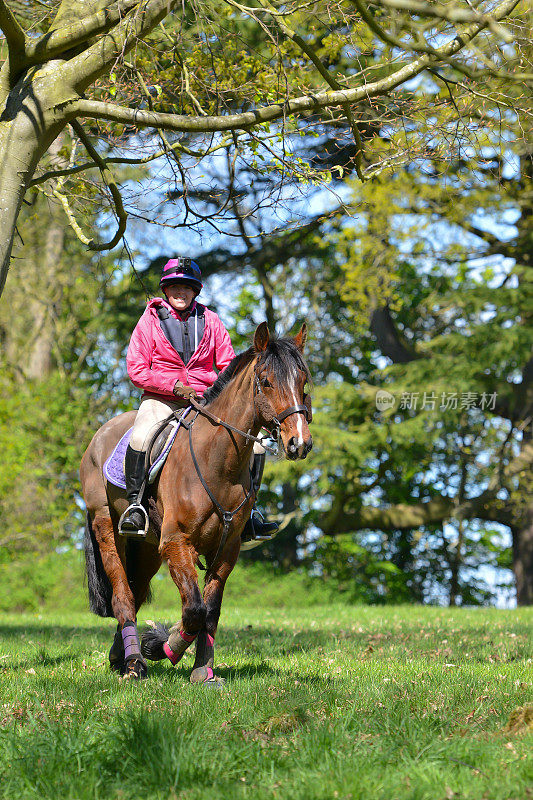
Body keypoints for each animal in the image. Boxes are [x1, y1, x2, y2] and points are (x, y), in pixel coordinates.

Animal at [79, 322, 312, 684]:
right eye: (266, 381)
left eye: (303, 381)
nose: (298, 443)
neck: (218, 461)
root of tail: (99, 436)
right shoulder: (177, 543)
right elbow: (194, 609)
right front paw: (161, 645)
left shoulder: (226, 548)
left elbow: (210, 611)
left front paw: (203, 669)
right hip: (107, 528)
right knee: (122, 597)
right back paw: (135, 665)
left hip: (147, 548)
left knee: (135, 593)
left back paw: (122, 657)